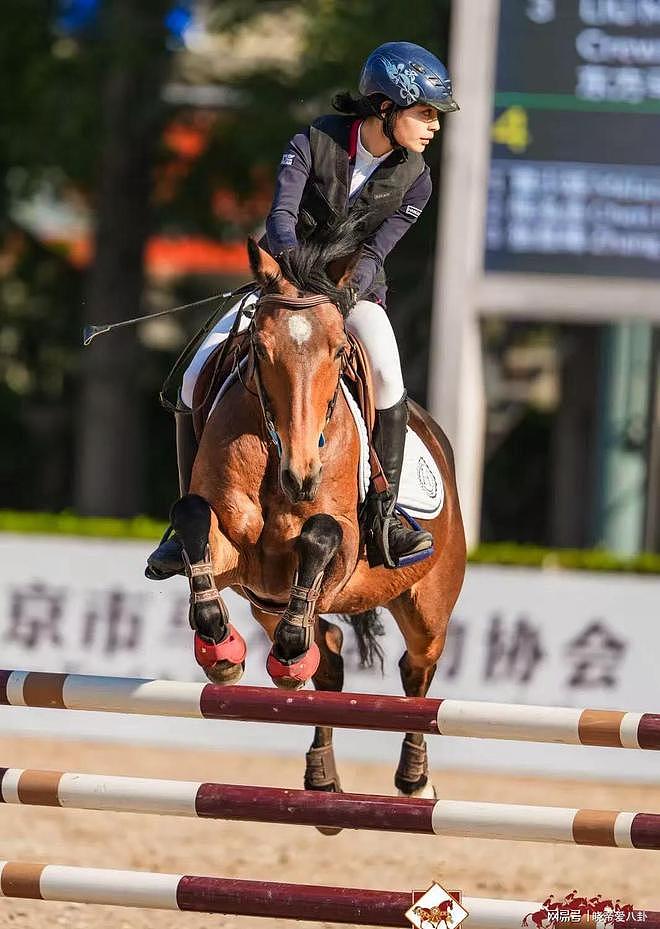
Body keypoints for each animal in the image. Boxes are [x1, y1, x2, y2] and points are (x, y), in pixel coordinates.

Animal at [170, 221, 466, 803]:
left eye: (337, 352)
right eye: (260, 349)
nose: (302, 475)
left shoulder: (344, 545)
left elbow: (321, 534)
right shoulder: (240, 558)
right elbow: (194, 517)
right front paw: (220, 646)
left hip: (428, 608)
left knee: (417, 674)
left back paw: (415, 781)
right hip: (266, 601)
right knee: (327, 653)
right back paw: (319, 768)